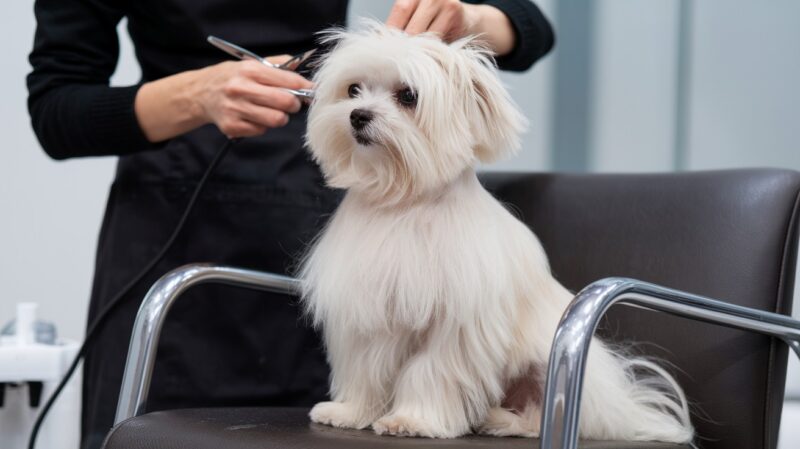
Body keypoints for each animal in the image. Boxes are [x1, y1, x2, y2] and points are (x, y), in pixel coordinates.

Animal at [300, 20, 692, 440]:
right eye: (353, 89)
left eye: (408, 95)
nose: (357, 115)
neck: (403, 204)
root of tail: (618, 408)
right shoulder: (369, 315)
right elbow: (366, 370)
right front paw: (350, 412)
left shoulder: (454, 325)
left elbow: (430, 372)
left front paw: (415, 419)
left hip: (544, 365)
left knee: (538, 412)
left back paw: (501, 419)